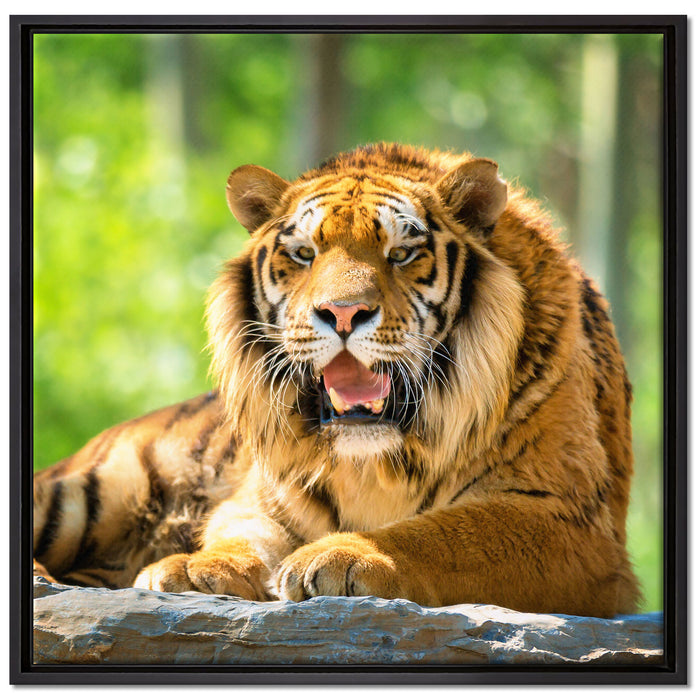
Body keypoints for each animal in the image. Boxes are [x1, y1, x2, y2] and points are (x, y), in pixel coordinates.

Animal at [33, 143, 641, 617]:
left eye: (402, 253)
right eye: (304, 254)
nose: (343, 313)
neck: (374, 463)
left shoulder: (569, 519)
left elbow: (443, 533)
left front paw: (343, 556)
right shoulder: (262, 497)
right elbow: (240, 533)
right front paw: (191, 568)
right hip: (88, 491)